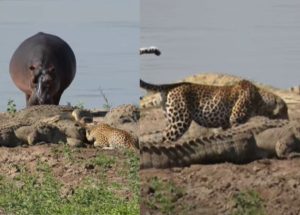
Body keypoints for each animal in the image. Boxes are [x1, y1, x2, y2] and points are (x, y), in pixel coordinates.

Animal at [140, 79, 288, 143]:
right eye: (285, 110)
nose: (289, 119)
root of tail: (169, 86)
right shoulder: (235, 119)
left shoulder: (226, 124)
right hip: (181, 120)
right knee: (166, 139)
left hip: (172, 119)